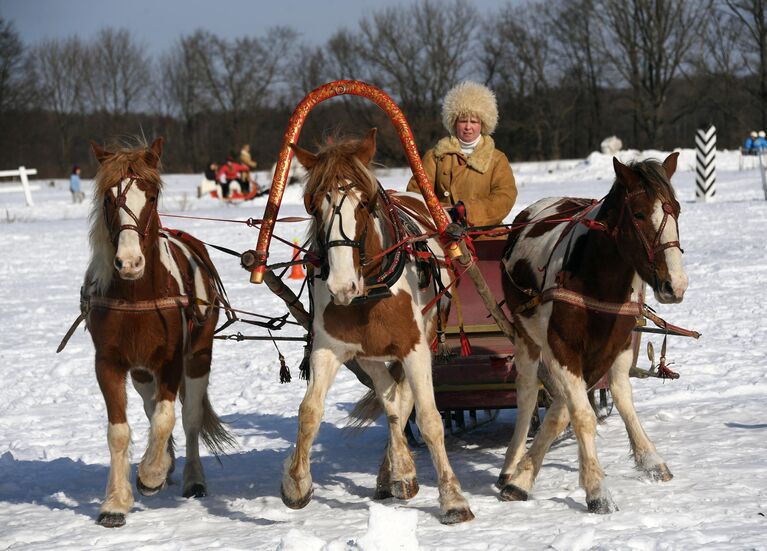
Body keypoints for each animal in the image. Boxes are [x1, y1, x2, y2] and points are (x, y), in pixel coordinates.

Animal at [85, 137, 232, 528]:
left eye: (150, 197)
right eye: (109, 198)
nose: (129, 262)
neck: (138, 294)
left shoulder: (171, 361)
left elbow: (168, 418)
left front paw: (151, 474)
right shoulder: (109, 363)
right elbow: (120, 432)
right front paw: (116, 502)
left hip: (198, 357)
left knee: (189, 417)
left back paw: (191, 478)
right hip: (140, 372)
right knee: (151, 409)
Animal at [282, 130, 474, 528]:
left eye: (364, 205)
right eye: (314, 206)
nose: (341, 286)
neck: (369, 293)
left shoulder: (416, 348)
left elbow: (430, 419)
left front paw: (453, 499)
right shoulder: (330, 348)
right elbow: (309, 412)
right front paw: (297, 483)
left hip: (425, 339)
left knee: (405, 398)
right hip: (367, 353)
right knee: (391, 398)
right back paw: (395, 471)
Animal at [498, 154, 688, 512]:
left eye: (677, 210)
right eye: (639, 214)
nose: (676, 285)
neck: (596, 278)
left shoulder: (617, 346)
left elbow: (617, 398)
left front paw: (650, 458)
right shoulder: (561, 347)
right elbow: (581, 415)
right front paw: (596, 489)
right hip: (526, 336)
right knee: (527, 394)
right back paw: (510, 466)